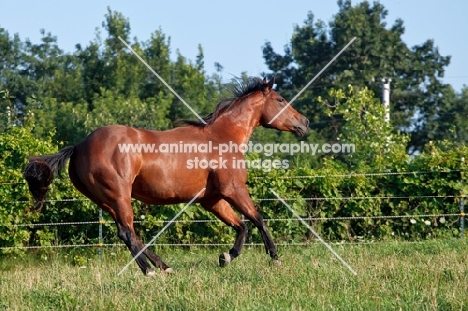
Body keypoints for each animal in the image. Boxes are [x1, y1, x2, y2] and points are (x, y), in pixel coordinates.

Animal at [25, 77, 310, 276]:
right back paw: (151, 271)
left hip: (105, 201)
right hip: (118, 196)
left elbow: (242, 225)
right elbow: (258, 219)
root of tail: (80, 145)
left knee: (130, 233)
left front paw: (226, 257)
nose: (304, 123)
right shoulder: (233, 189)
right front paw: (275, 258)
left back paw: (165, 267)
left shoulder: (212, 200)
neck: (222, 136)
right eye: (281, 99)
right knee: (127, 232)